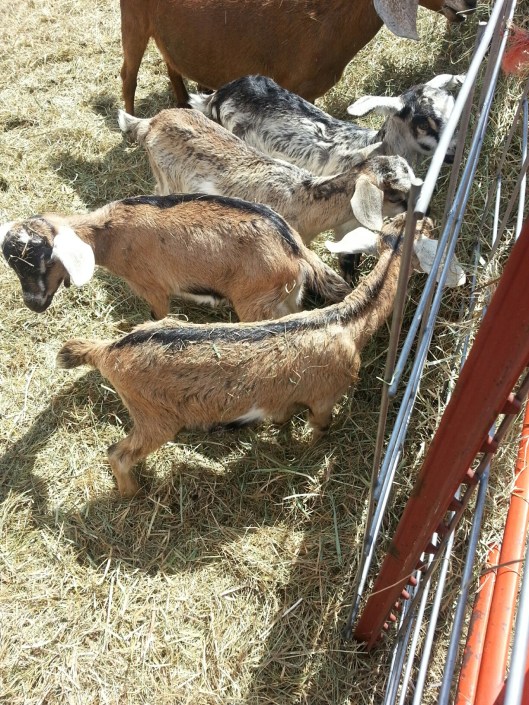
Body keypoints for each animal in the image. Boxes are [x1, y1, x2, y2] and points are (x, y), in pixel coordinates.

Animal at [0, 194, 353, 322]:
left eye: (48, 260)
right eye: (13, 266)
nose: (33, 303)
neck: (110, 234)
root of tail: (295, 249)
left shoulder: (153, 287)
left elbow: (157, 315)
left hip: (255, 301)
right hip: (285, 296)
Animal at [57, 213, 465, 497]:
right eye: (428, 235)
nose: (432, 218)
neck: (346, 322)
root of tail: (108, 351)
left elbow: (282, 414)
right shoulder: (325, 396)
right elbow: (321, 427)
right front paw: (306, 453)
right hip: (155, 417)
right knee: (117, 452)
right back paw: (132, 494)